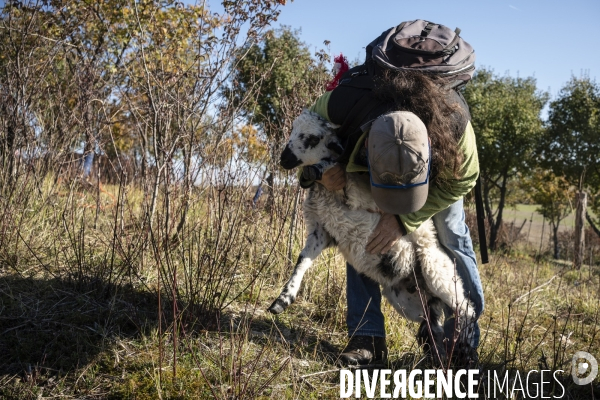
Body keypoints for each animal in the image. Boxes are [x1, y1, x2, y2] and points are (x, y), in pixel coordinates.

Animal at [270, 109, 476, 360]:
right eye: (292, 129)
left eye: (313, 138)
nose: (284, 159)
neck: (326, 193)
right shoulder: (321, 231)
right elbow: (302, 261)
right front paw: (281, 301)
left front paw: (321, 167)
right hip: (406, 301)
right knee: (432, 324)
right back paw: (437, 357)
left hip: (436, 270)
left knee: (465, 308)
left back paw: (464, 348)